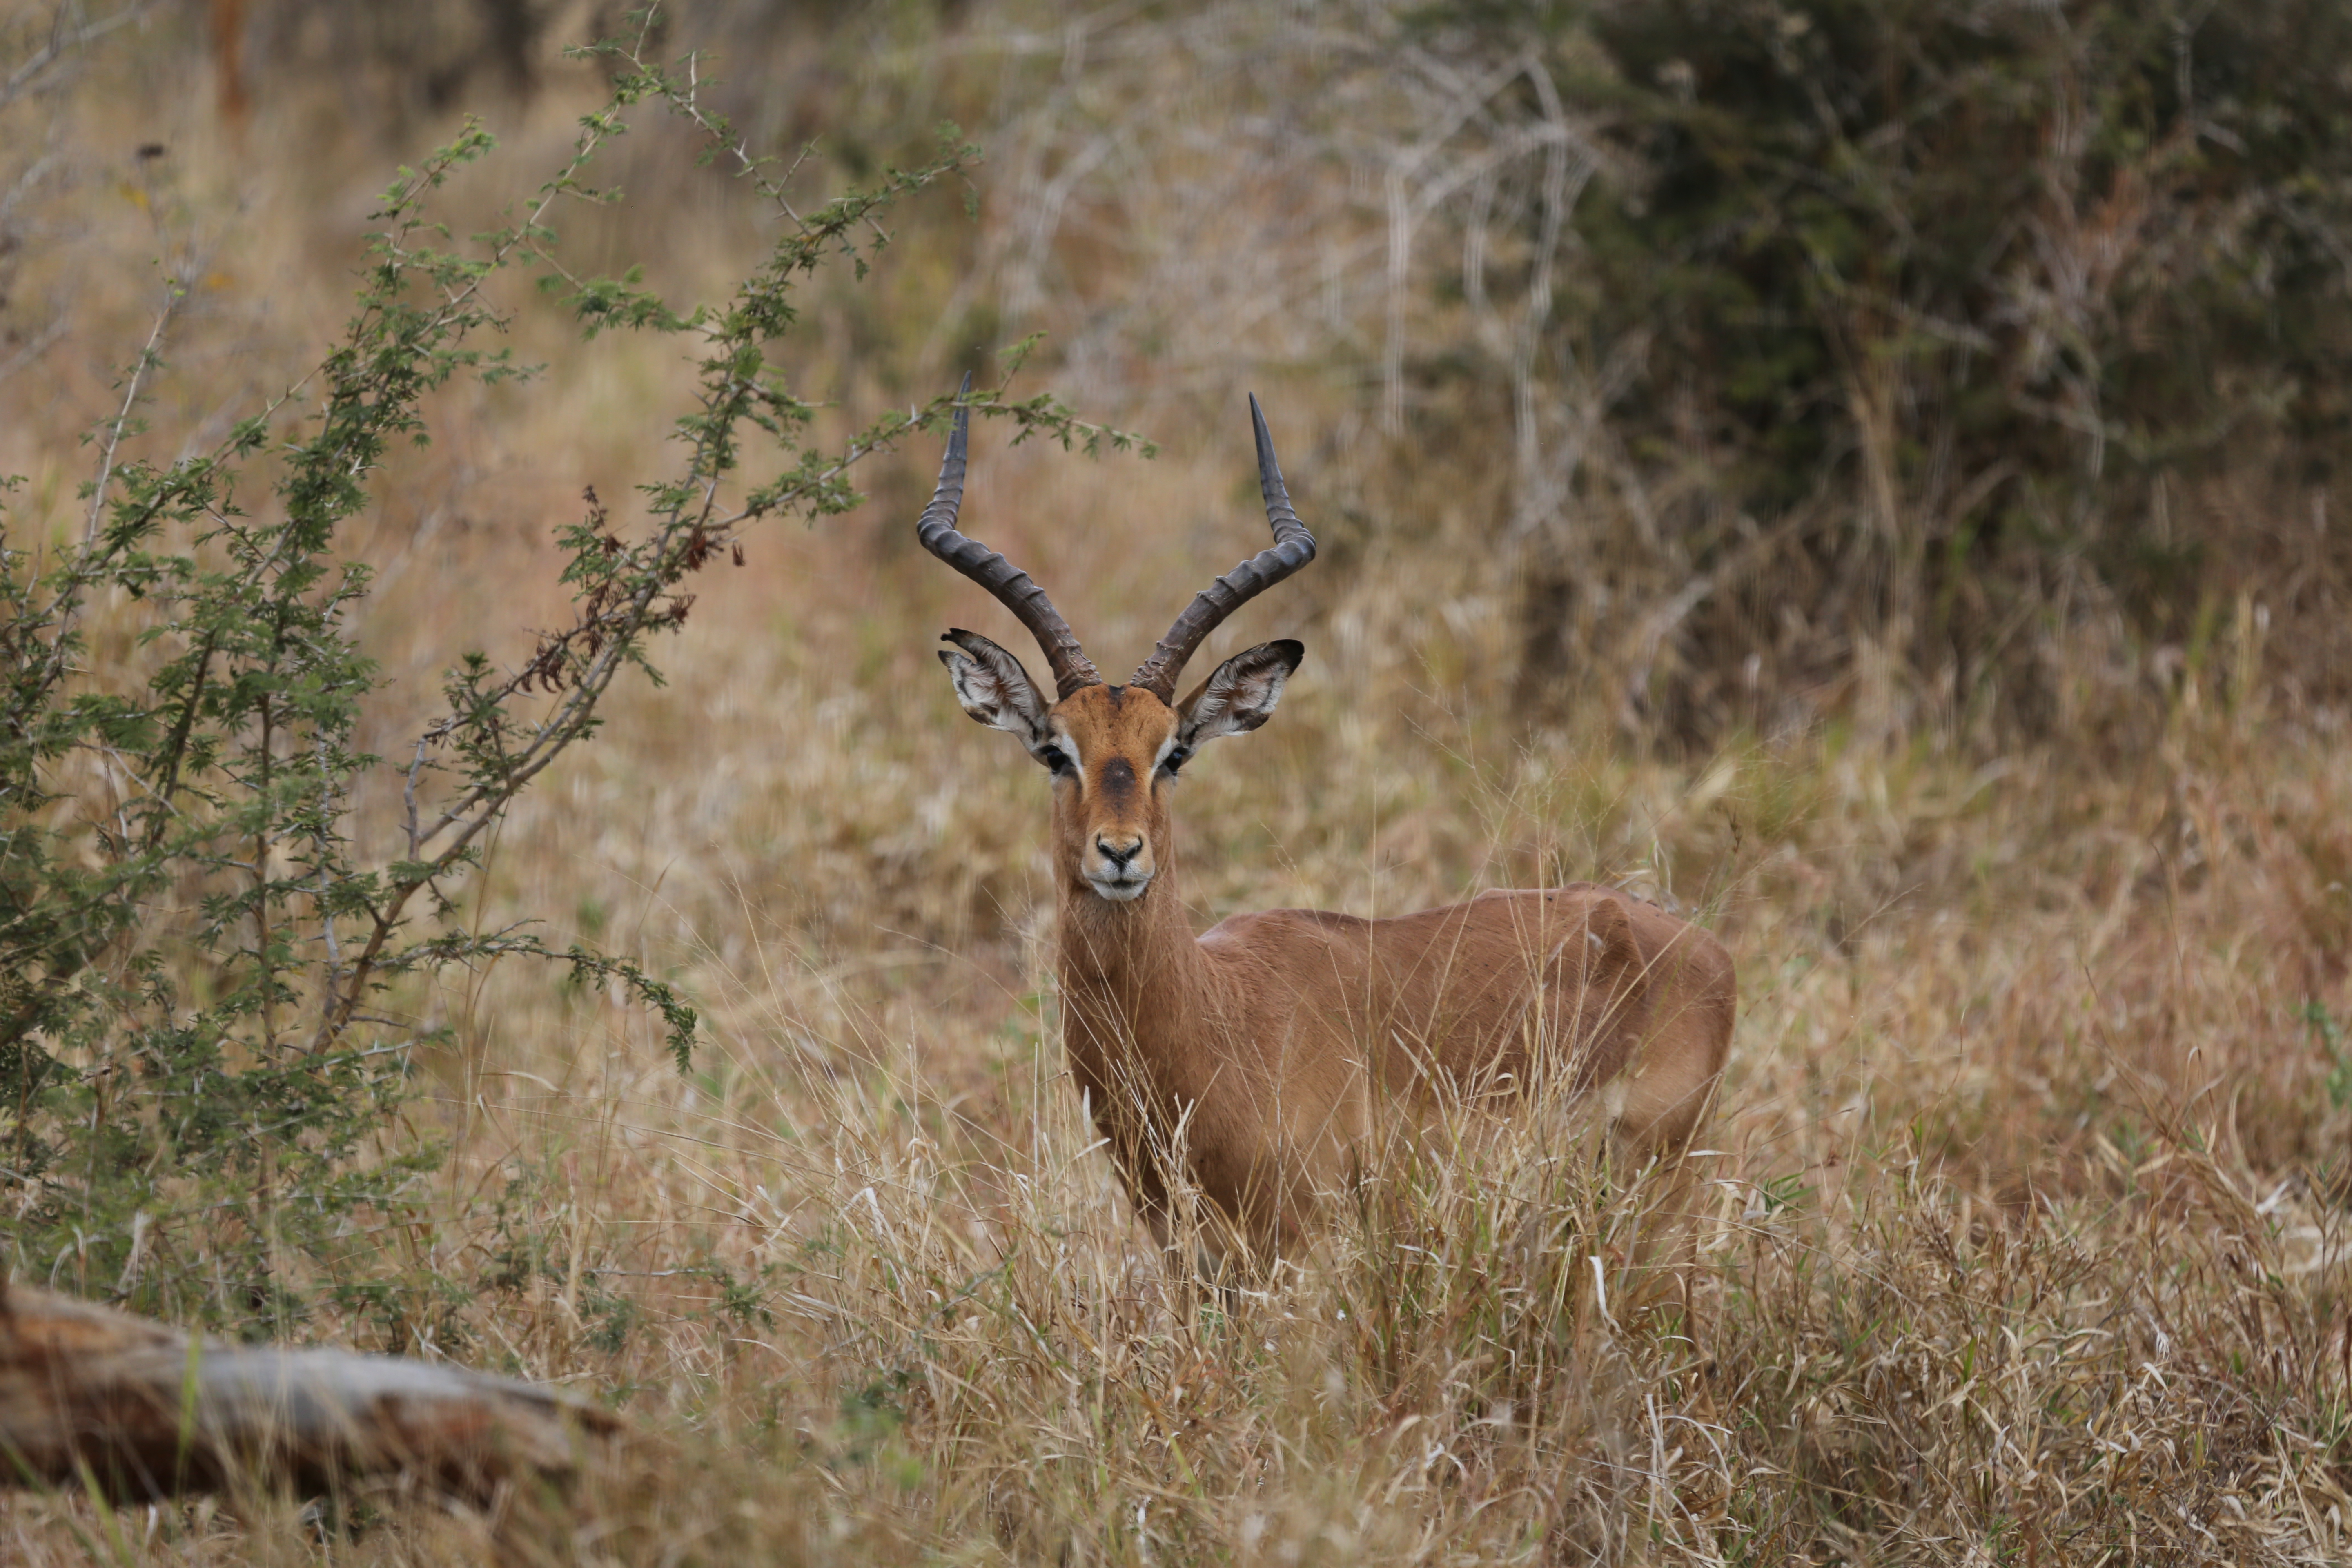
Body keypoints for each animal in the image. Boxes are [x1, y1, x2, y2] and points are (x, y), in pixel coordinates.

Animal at [918, 388, 1735, 1274]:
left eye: (1173, 753)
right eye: (1054, 751)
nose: (1121, 853)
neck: (1220, 1020)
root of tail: (1700, 948)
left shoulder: (1298, 1244)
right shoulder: (1187, 1252)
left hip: (1654, 1193)